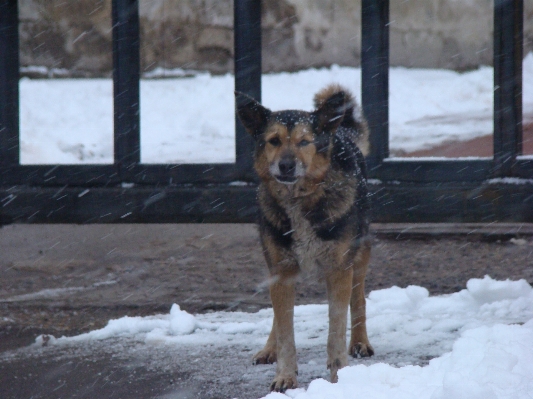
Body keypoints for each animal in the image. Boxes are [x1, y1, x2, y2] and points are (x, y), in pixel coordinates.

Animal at [235, 85, 372, 394]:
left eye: (304, 142)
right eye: (273, 141)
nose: (285, 165)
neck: (299, 199)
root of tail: (340, 131)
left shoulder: (339, 269)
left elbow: (336, 328)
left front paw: (339, 375)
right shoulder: (281, 270)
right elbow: (285, 330)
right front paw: (285, 375)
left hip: (360, 252)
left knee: (358, 298)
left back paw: (360, 342)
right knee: (278, 316)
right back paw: (269, 348)